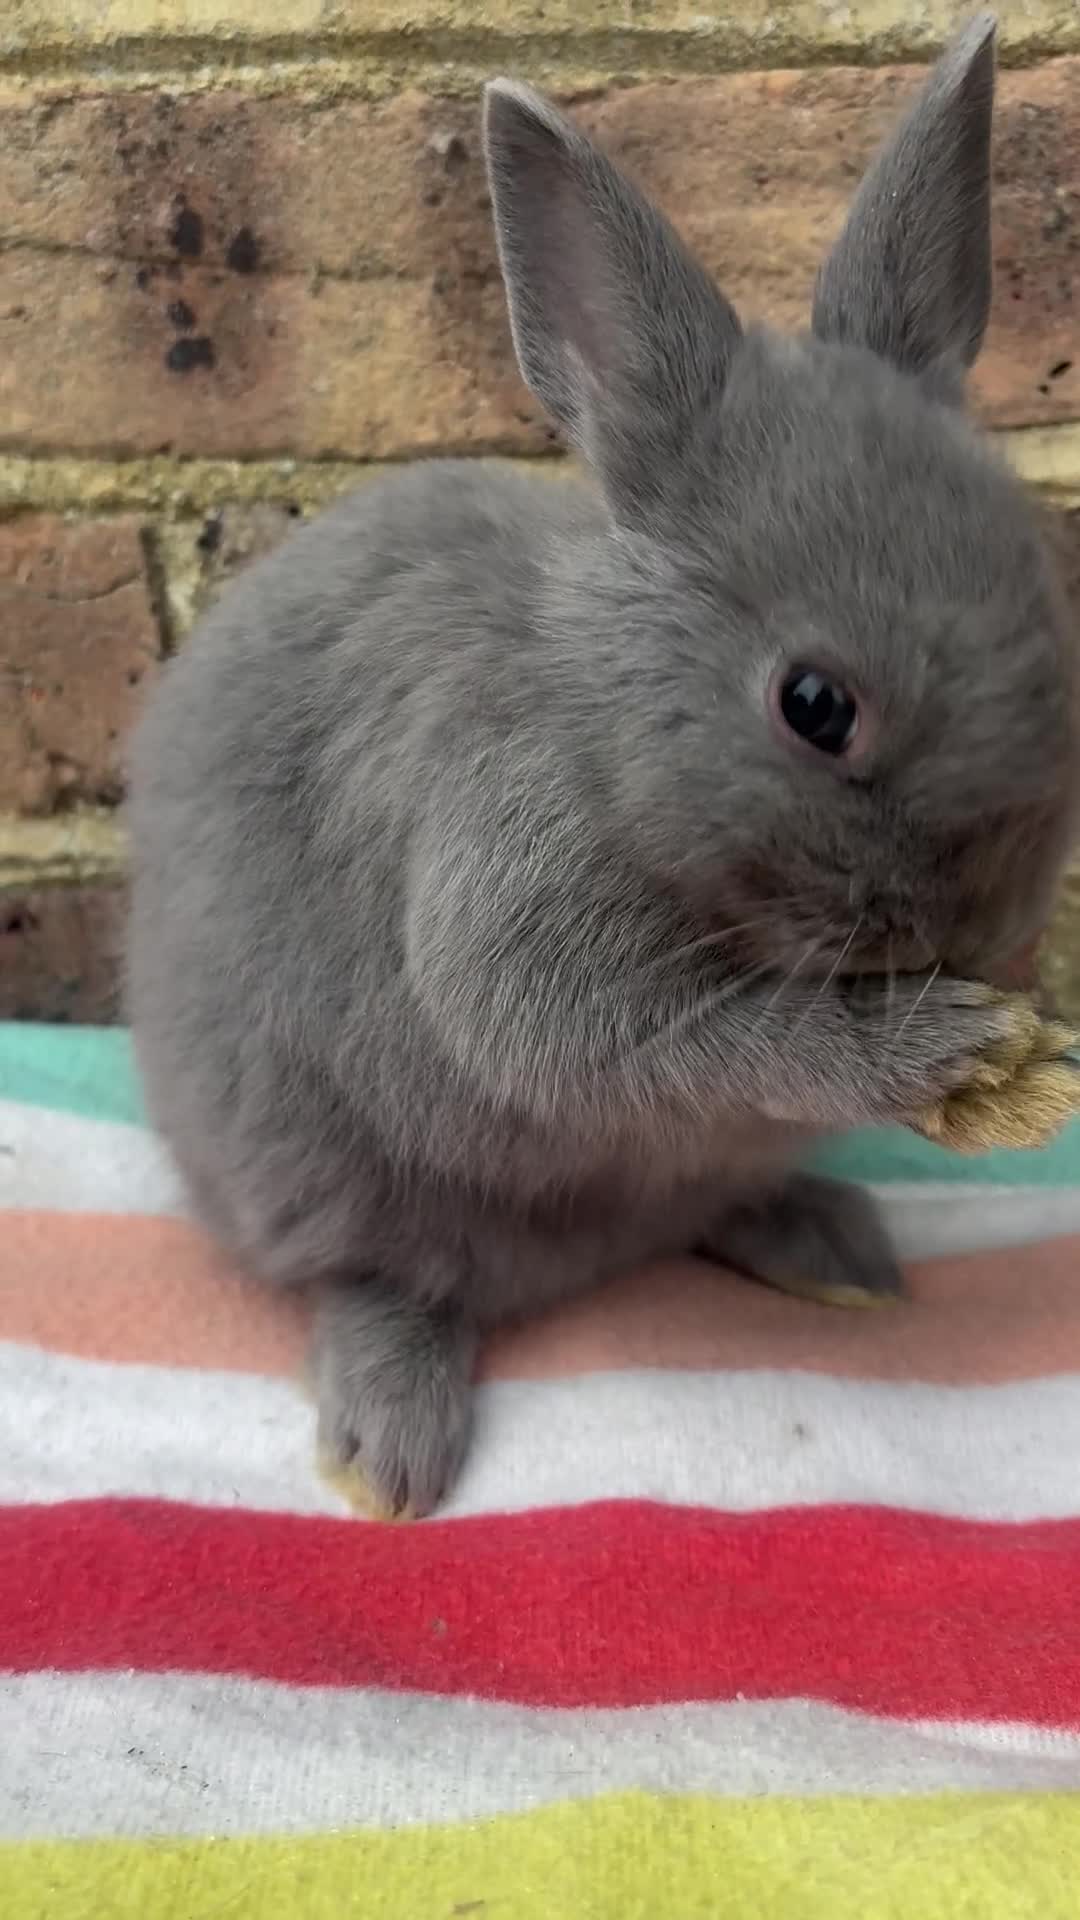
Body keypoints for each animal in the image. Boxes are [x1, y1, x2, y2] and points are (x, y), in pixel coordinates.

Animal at [128, 11, 1080, 1518]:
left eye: (1045, 599)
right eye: (816, 706)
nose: (988, 929)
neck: (608, 730)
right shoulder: (527, 940)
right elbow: (701, 1045)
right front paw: (940, 1047)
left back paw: (835, 1253)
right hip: (307, 1167)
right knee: (373, 1280)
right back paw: (389, 1452)